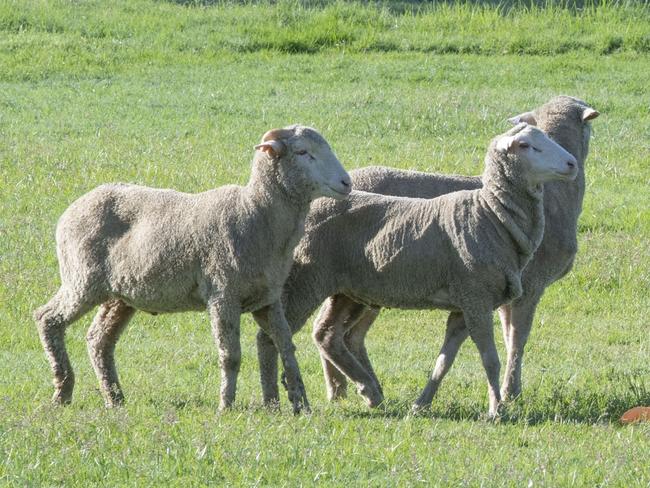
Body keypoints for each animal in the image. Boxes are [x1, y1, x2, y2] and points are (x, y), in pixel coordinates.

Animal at [31, 123, 350, 412]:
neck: (255, 212)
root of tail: (74, 207)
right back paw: (62, 391)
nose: (346, 182)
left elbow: (286, 347)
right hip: (82, 280)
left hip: (120, 295)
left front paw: (301, 404)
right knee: (48, 319)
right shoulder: (223, 294)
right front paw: (226, 406)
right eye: (302, 152)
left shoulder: (268, 298)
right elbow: (230, 354)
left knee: (99, 340)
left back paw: (114, 398)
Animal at [256, 122, 576, 416]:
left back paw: (370, 391)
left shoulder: (463, 307)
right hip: (307, 281)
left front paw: (421, 404)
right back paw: (276, 401)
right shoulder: (477, 298)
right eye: (525, 145)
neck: (490, 214)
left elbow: (444, 360)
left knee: (326, 335)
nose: (572, 163)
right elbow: (490, 359)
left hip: (347, 291)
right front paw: (496, 409)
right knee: (272, 337)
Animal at [314, 95, 596, 404]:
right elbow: (517, 339)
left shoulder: (505, 285)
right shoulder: (530, 285)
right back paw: (344, 387)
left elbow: (506, 335)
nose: (571, 164)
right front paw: (511, 392)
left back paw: (350, 388)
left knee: (349, 335)